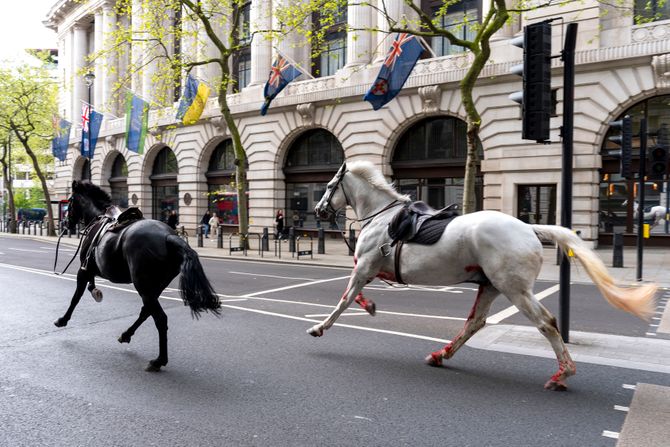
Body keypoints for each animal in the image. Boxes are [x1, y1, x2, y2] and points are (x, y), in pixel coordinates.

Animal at [57, 180, 220, 372]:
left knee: (160, 319)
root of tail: (169, 236)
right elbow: (89, 286)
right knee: (146, 311)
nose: (65, 222)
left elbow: (76, 297)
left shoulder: (84, 270)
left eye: (70, 201)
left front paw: (63, 319)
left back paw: (158, 360)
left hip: (143, 285)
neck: (98, 218)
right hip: (154, 287)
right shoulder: (90, 269)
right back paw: (126, 335)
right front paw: (95, 292)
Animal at [314, 163, 656, 390]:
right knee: (475, 323)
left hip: (514, 288)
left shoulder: (364, 267)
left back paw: (562, 374)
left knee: (545, 323)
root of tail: (529, 228)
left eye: (329, 185)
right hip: (491, 286)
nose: (318, 210)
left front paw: (320, 327)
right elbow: (354, 295)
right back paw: (440, 354)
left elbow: (344, 299)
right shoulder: (369, 269)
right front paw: (370, 306)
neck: (382, 217)